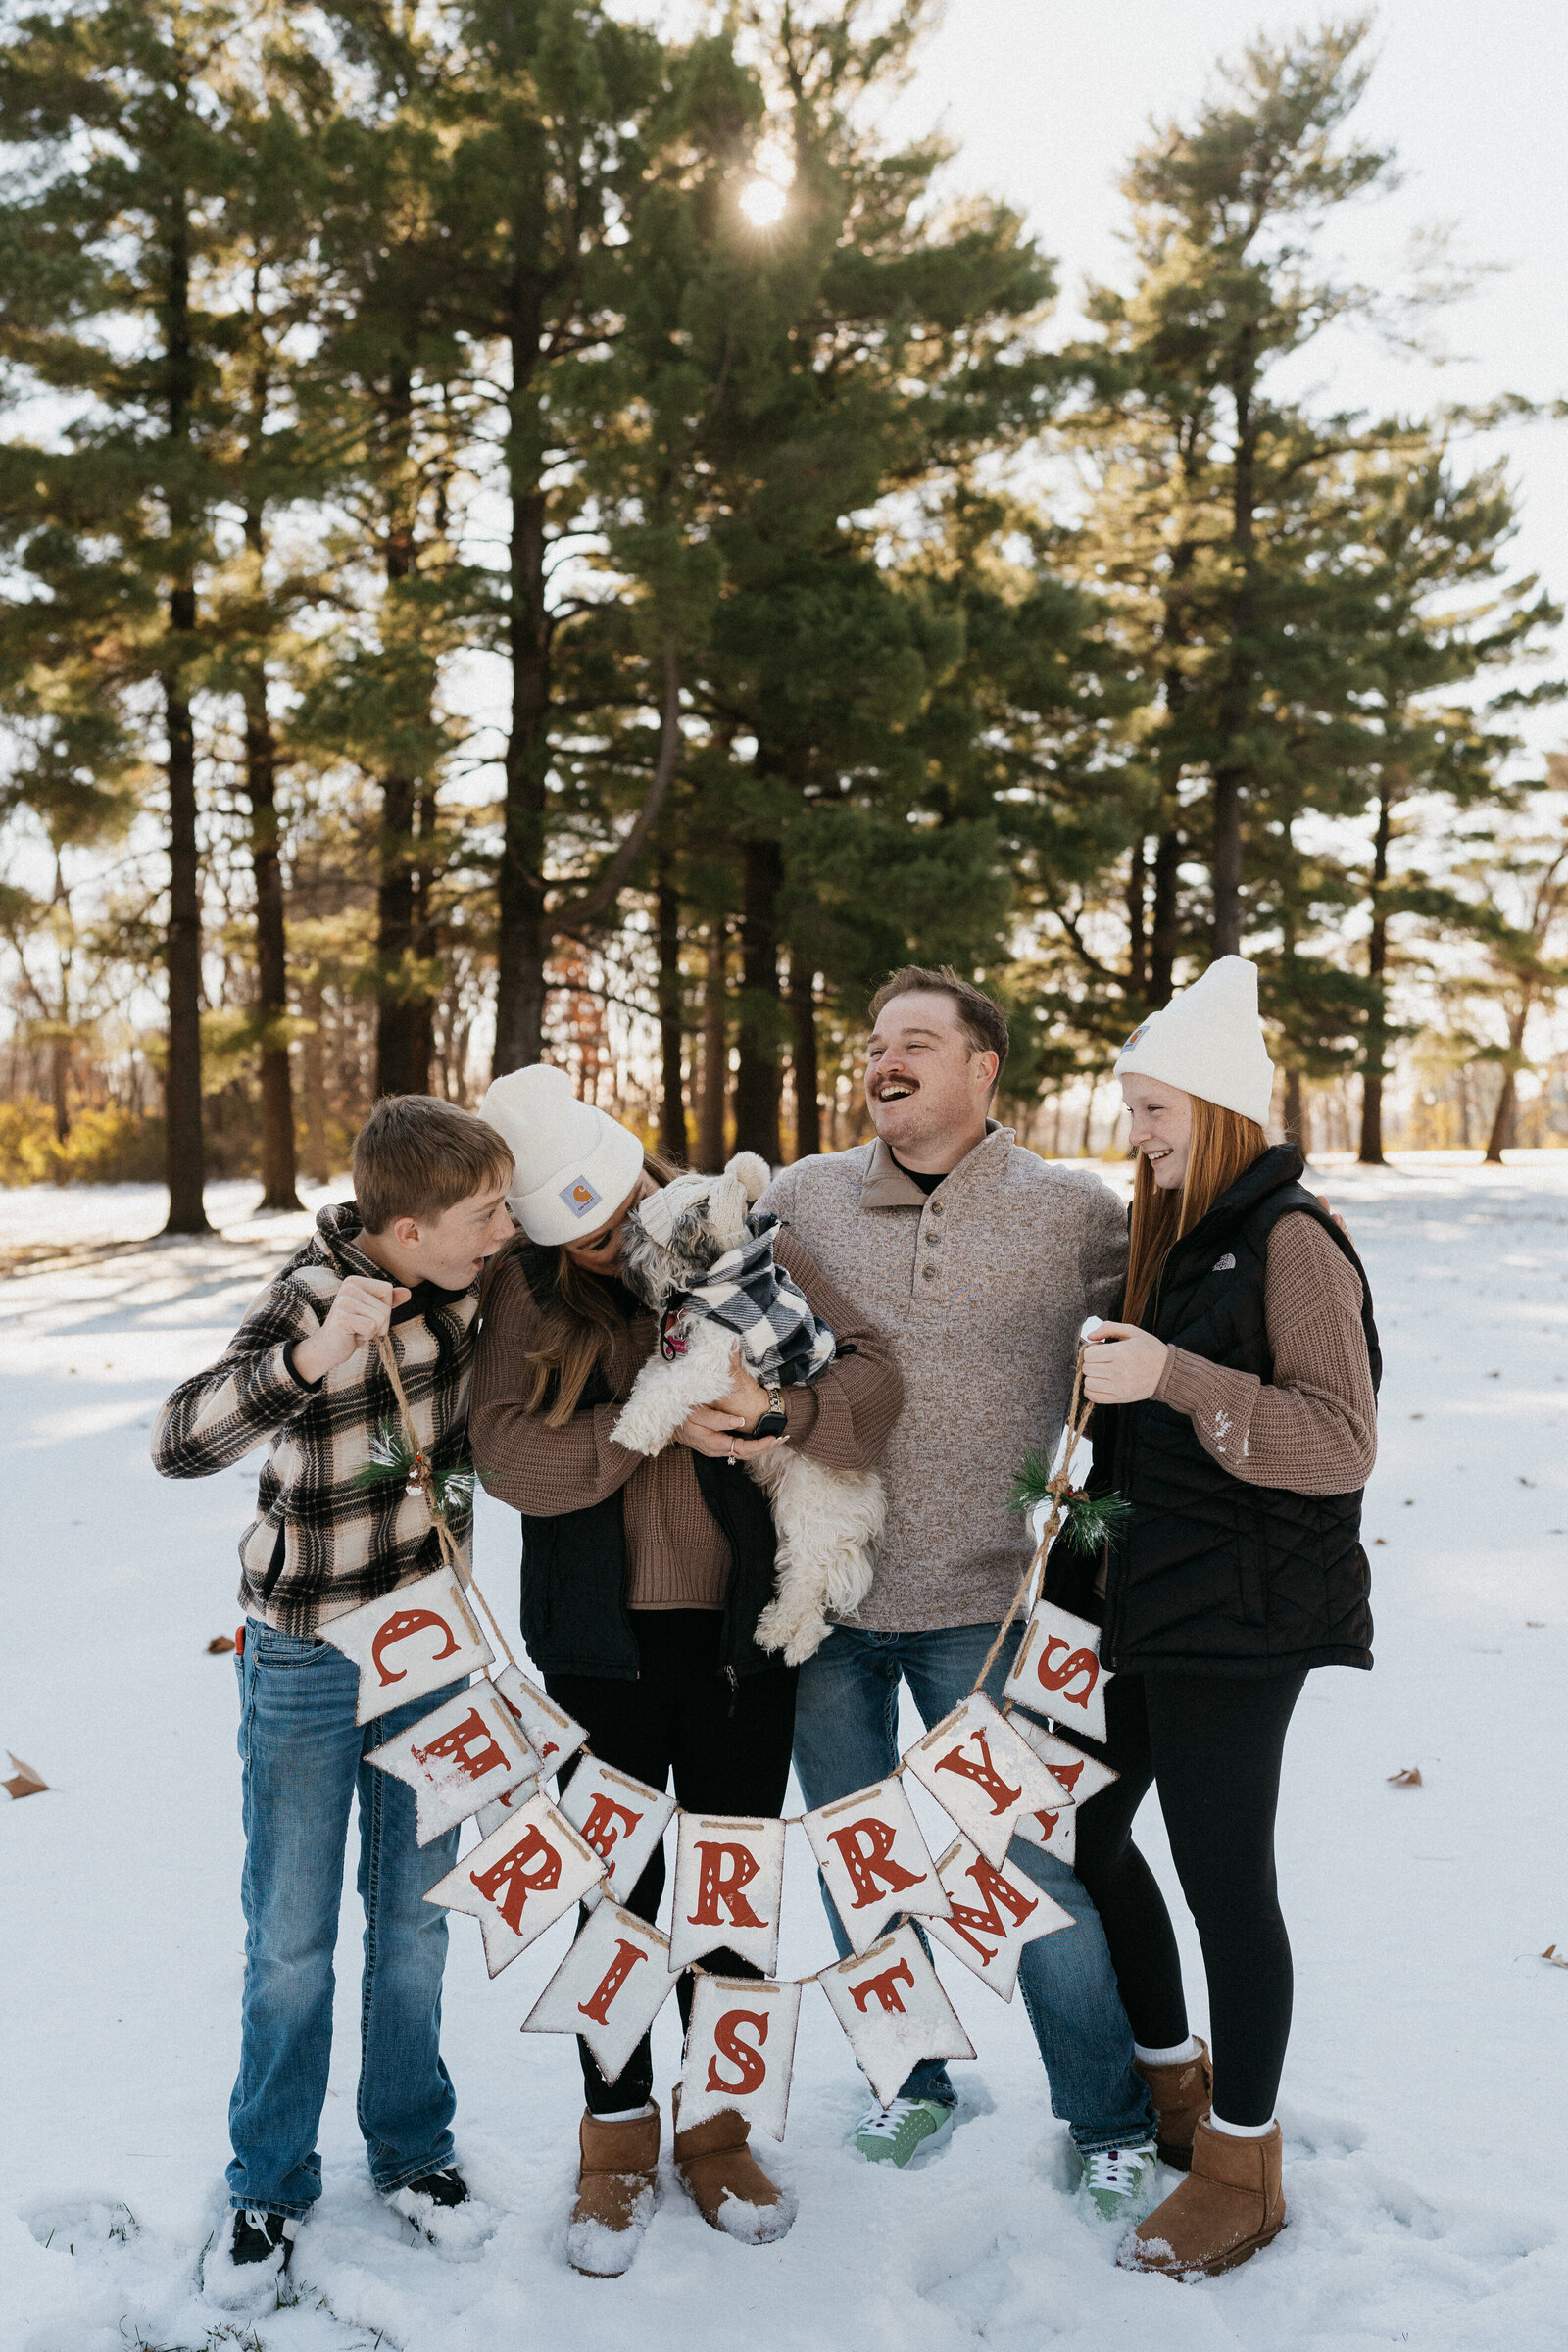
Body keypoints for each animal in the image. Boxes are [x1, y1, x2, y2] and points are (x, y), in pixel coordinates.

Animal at [611, 1148, 883, 1665]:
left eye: (640, 1231)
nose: (623, 1266)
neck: (723, 1276)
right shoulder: (677, 1353)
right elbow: (652, 1380)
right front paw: (640, 1421)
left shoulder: (714, 1364)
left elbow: (666, 1391)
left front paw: (633, 1431)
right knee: (810, 1590)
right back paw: (791, 1638)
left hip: (807, 1506)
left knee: (807, 1578)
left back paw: (779, 1634)